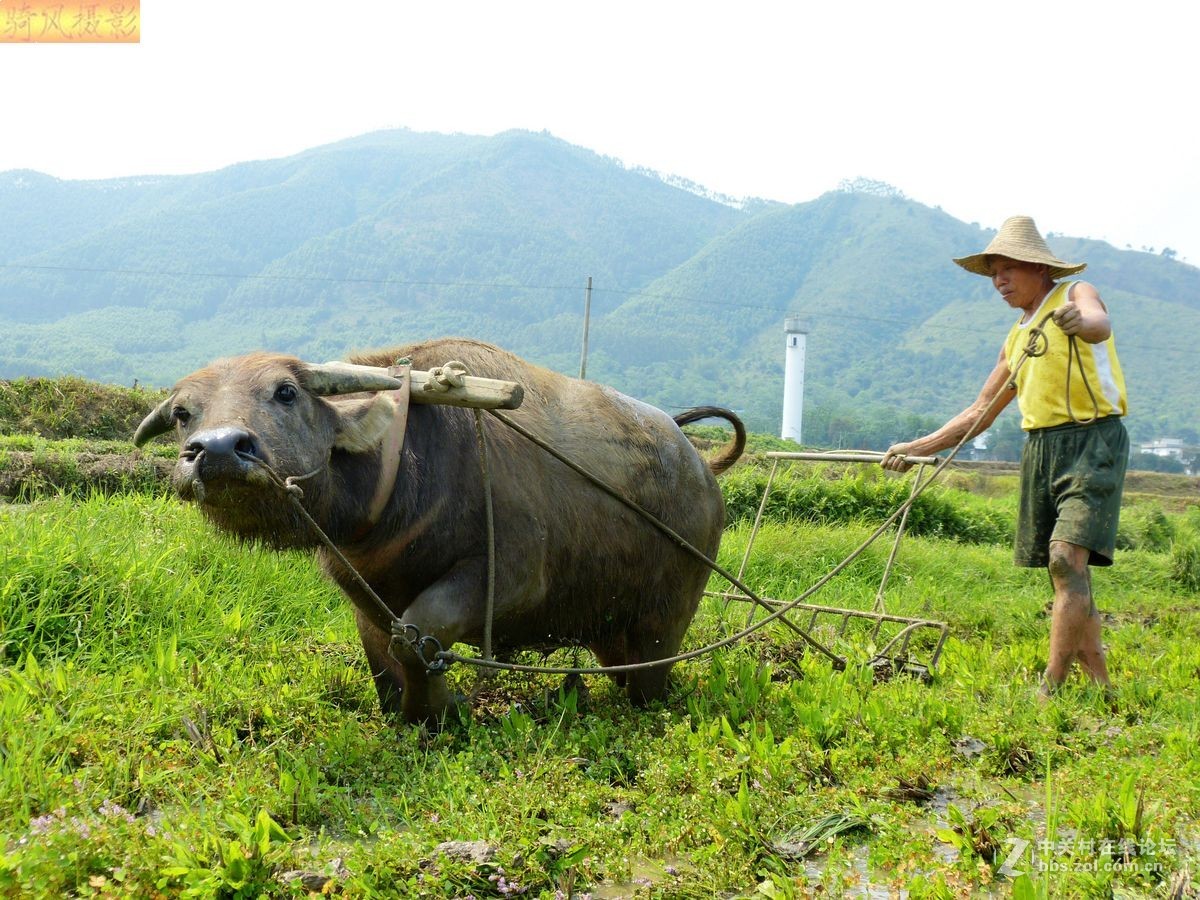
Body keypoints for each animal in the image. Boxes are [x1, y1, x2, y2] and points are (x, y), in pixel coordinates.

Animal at [136, 338, 744, 724]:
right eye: (184, 413)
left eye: (286, 392)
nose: (217, 450)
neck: (407, 470)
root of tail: (700, 467)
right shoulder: (362, 586)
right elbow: (382, 653)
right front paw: (411, 713)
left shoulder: (513, 576)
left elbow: (416, 635)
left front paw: (439, 711)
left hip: (667, 616)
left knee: (651, 673)